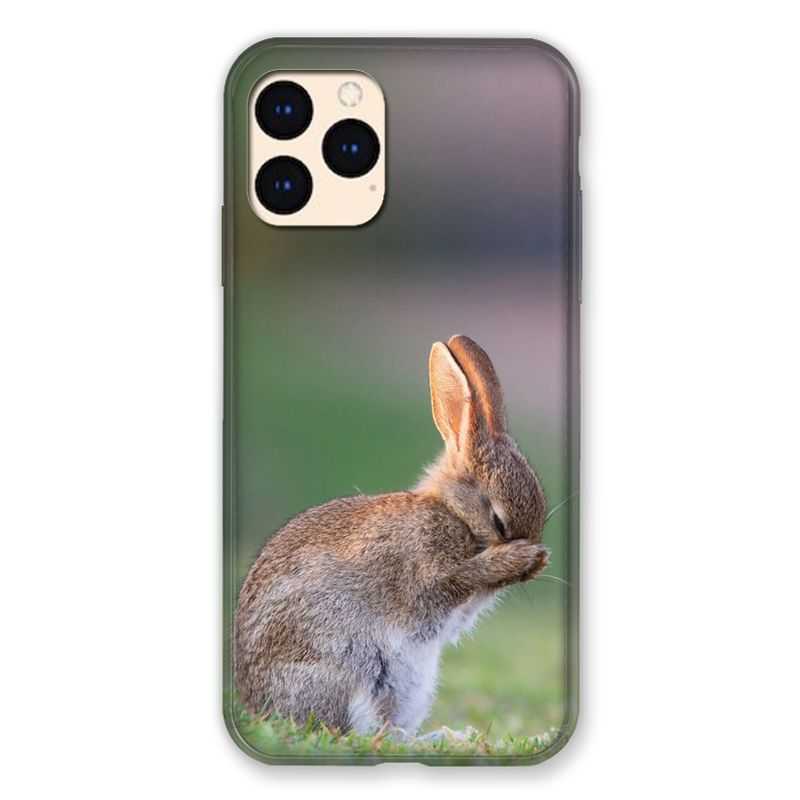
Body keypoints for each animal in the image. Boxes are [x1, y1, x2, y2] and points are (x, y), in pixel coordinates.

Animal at [234, 335, 549, 735]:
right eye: (498, 521)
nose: (534, 557)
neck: (453, 512)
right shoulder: (426, 570)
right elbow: (454, 580)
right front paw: (520, 558)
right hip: (352, 668)